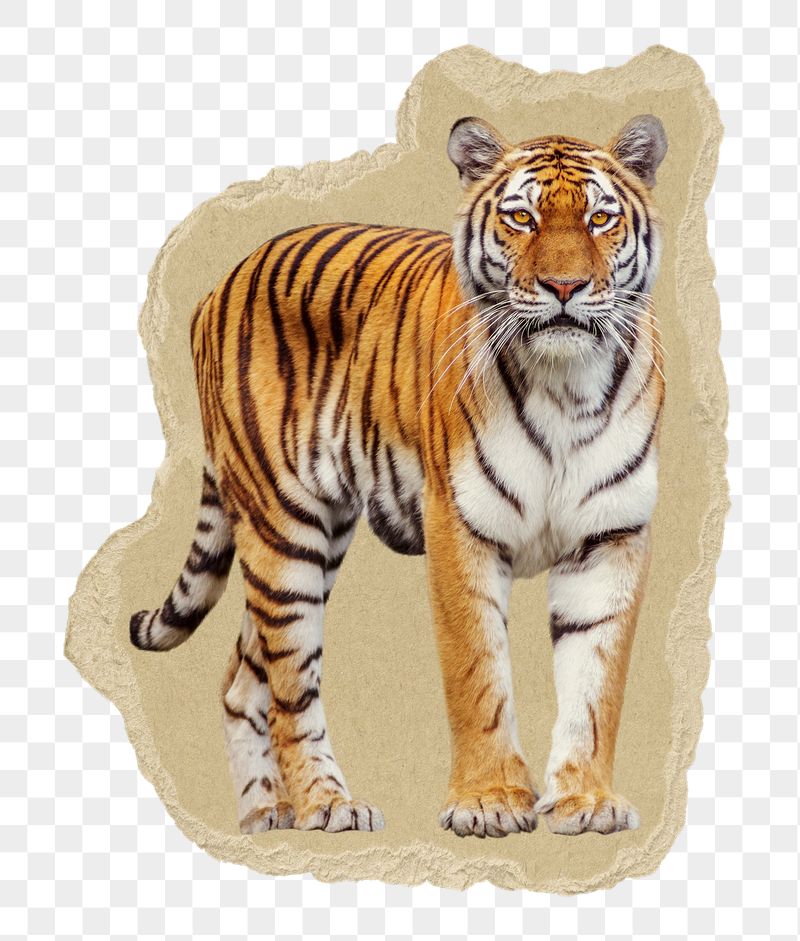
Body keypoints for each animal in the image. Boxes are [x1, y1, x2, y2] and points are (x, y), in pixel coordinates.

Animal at [130, 113, 668, 839]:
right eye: (521, 217)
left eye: (600, 218)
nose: (564, 288)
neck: (567, 386)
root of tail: (217, 286)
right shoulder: (460, 529)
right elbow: (478, 676)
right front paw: (489, 803)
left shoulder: (610, 538)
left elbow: (596, 685)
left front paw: (587, 802)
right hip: (284, 532)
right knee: (291, 689)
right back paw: (327, 805)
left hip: (316, 537)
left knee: (243, 679)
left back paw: (265, 813)